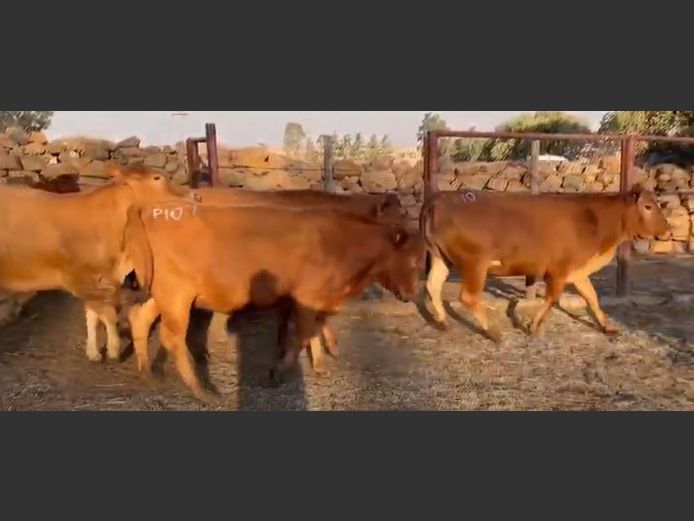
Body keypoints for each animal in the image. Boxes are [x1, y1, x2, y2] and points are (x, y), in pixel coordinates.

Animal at [0, 162, 198, 363]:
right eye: (157, 178)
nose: (193, 194)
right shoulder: (82, 281)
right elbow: (107, 315)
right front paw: (114, 350)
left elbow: (93, 317)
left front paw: (93, 352)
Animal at [123, 202, 425, 401]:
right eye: (414, 260)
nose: (412, 294)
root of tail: (150, 211)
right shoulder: (307, 296)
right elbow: (302, 335)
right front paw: (278, 372)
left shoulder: (313, 299)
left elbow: (313, 331)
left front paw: (320, 364)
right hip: (177, 296)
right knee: (172, 337)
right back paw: (201, 391)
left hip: (160, 294)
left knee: (139, 318)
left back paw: (146, 371)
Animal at [420, 185, 670, 342]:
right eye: (648, 206)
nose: (667, 231)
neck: (593, 219)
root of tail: (440, 197)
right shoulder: (558, 270)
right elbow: (552, 299)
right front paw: (533, 326)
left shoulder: (578, 271)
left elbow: (592, 297)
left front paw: (608, 327)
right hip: (475, 264)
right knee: (468, 297)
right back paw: (493, 332)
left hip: (441, 258)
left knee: (433, 285)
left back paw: (443, 322)